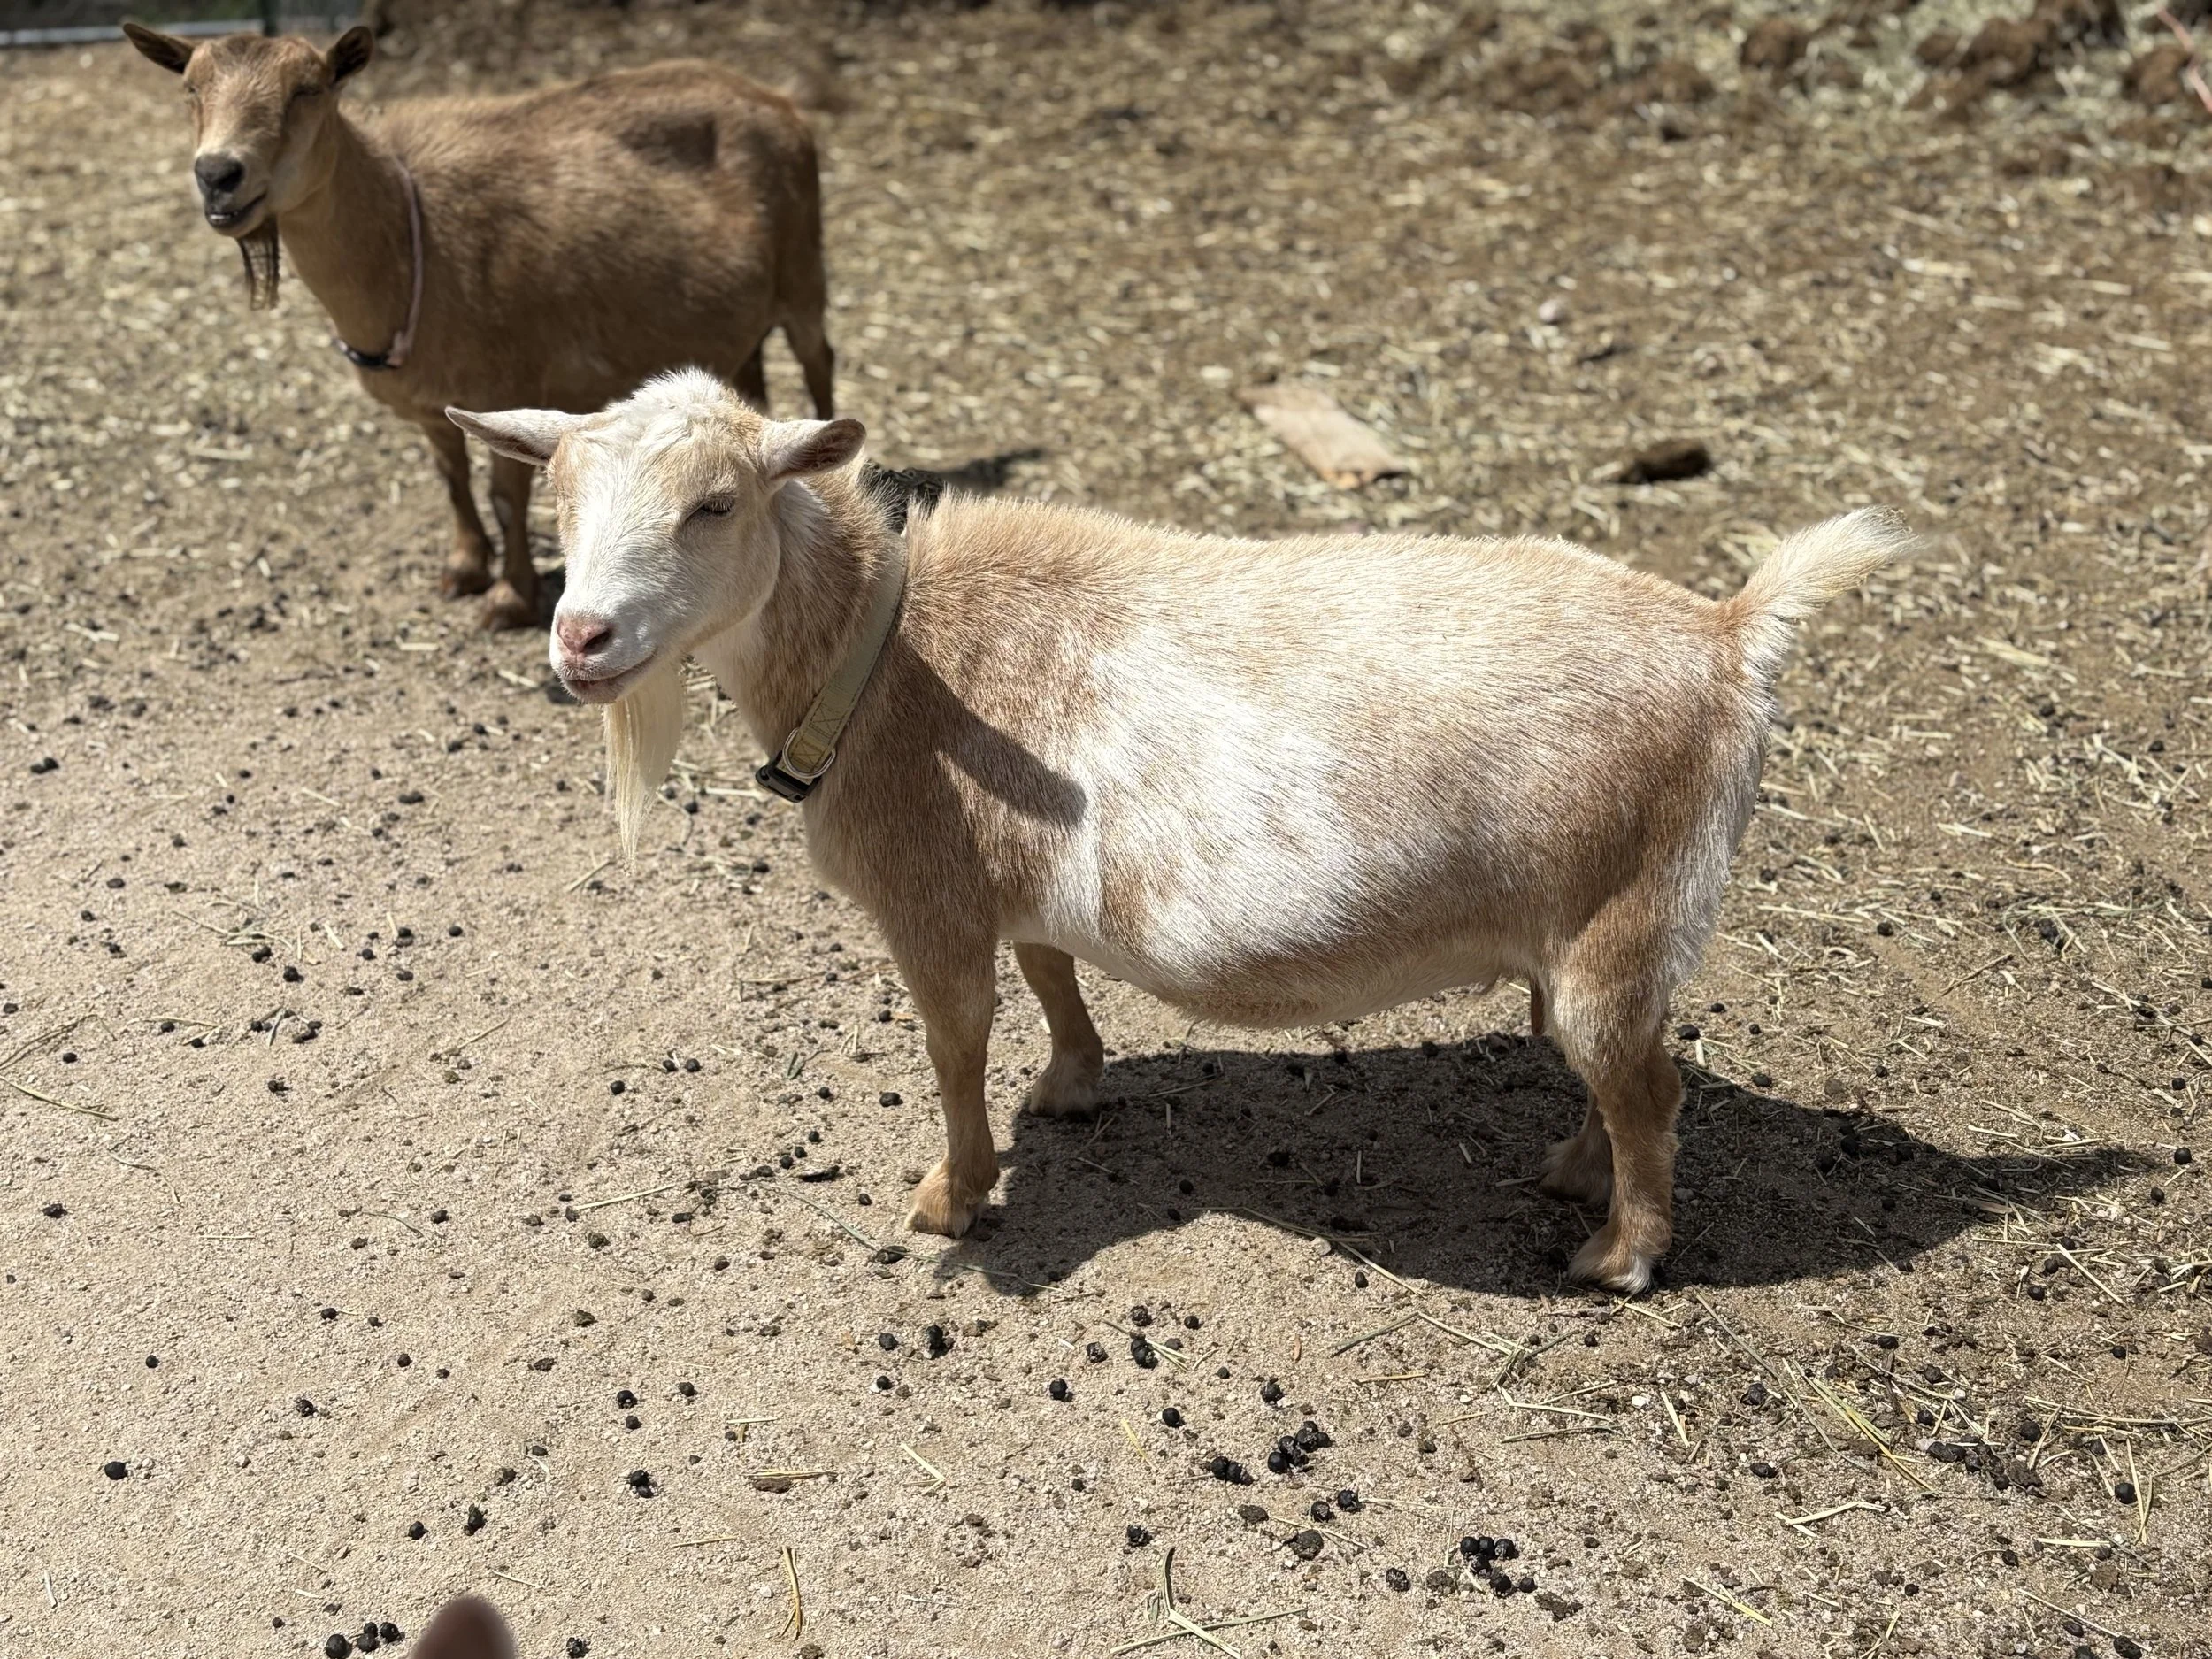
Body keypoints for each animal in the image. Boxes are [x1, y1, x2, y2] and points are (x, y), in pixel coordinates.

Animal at [123, 22, 833, 630]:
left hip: (803, 272)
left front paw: (508, 598)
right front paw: (463, 569)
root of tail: (779, 101)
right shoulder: (431, 405)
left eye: (308, 89)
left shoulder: (508, 384)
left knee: (819, 360)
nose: (219, 175)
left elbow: (504, 496)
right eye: (191, 88)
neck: (411, 240)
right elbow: (453, 481)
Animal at [449, 371, 1906, 1292]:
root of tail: (1729, 636)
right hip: (1601, 938)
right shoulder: (1014, 882)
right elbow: (1050, 972)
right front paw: (1072, 1079)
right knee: (1623, 1074)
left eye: (716, 504)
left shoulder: (932, 902)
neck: (885, 653)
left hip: (1623, 915)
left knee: (1647, 1085)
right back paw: (1569, 1172)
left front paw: (951, 1195)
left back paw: (1620, 1254)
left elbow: (953, 1049)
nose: (581, 640)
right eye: (559, 503)